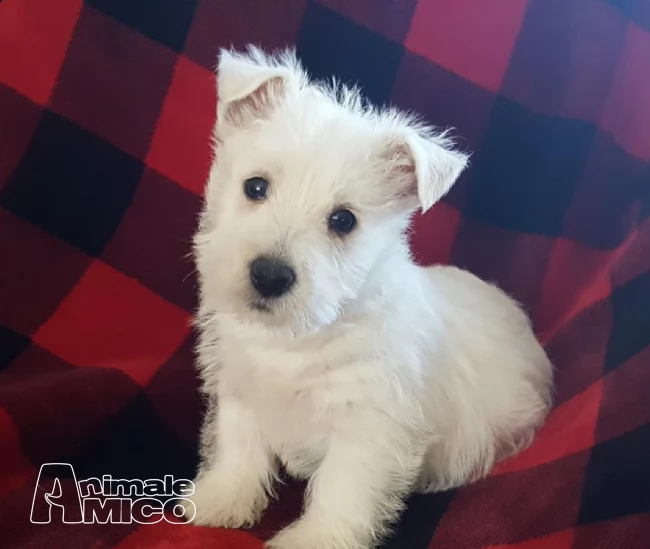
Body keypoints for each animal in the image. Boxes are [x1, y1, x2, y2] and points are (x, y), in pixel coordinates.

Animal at [184, 47, 552, 548]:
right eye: (255, 186)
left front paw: (313, 539)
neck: (297, 339)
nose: (269, 275)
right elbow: (239, 449)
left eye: (343, 220)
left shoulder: (369, 426)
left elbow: (343, 491)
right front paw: (220, 501)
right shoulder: (239, 389)